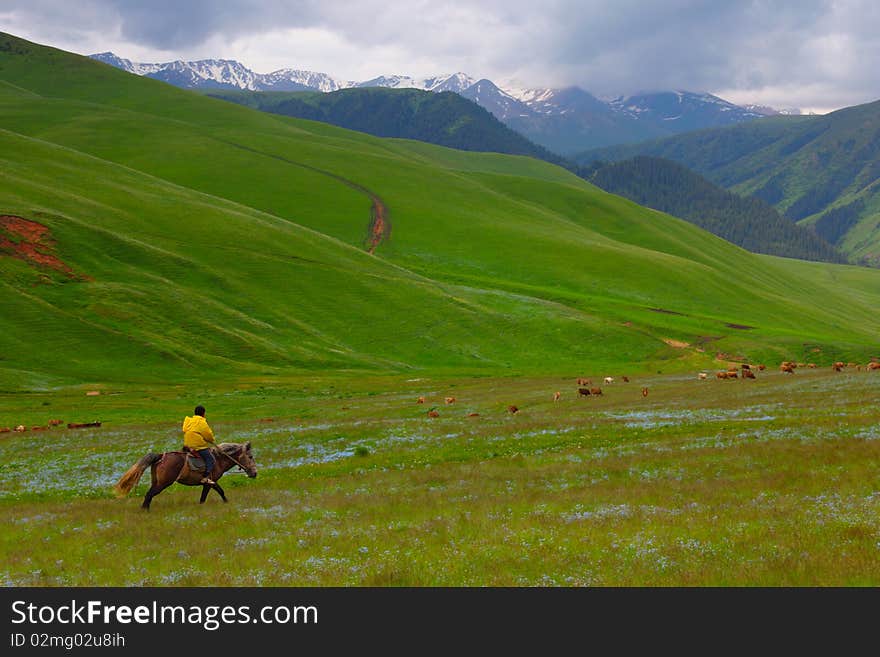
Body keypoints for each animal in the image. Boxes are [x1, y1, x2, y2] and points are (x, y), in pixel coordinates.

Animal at [114, 444, 258, 510]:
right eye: (250, 456)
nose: (255, 473)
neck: (218, 459)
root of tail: (161, 456)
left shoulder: (208, 483)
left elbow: (206, 496)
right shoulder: (210, 481)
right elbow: (218, 492)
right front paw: (227, 503)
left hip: (156, 482)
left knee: (148, 495)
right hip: (163, 484)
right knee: (149, 495)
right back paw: (145, 511)